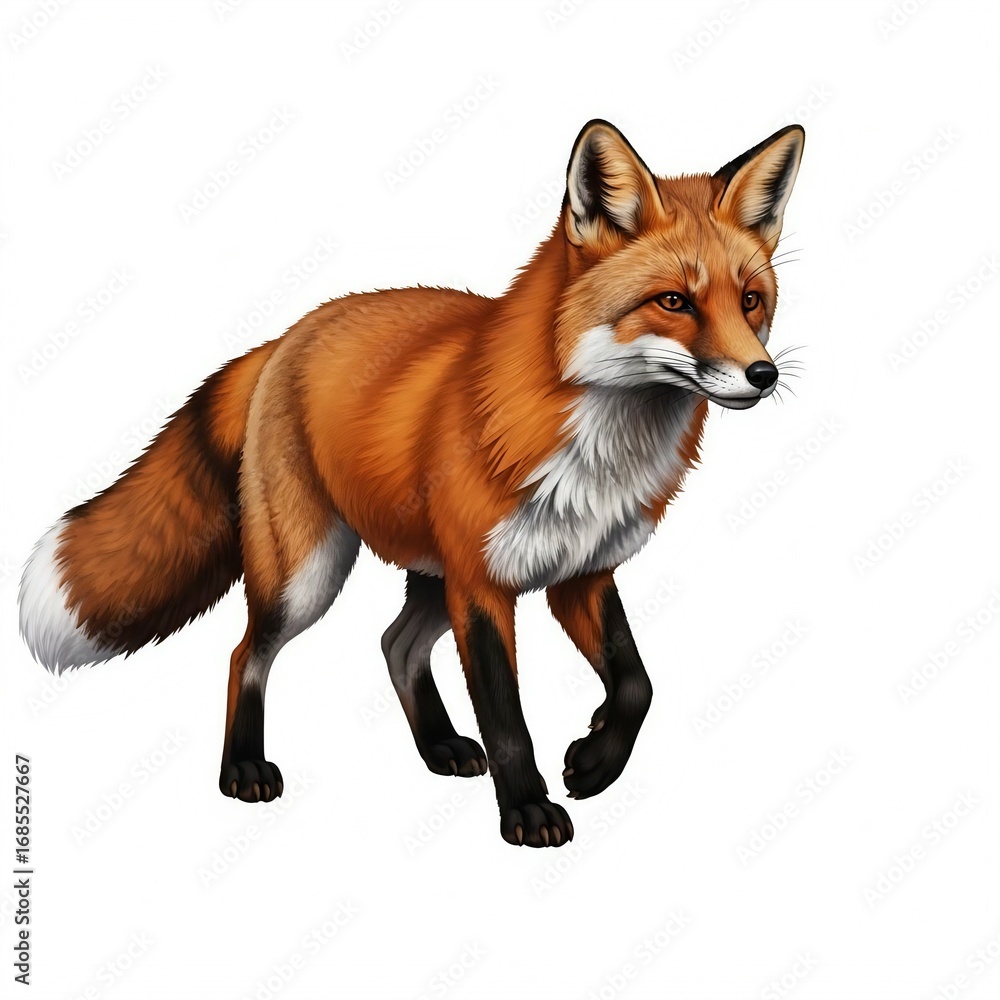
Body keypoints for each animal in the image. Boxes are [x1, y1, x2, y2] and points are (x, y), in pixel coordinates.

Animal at [19, 119, 804, 848]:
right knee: (249, 653)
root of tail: (288, 336)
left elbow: (637, 683)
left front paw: (594, 756)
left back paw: (439, 746)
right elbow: (508, 717)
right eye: (674, 302)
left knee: (395, 644)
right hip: (307, 576)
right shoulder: (482, 587)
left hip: (429, 574)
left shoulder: (581, 572)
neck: (598, 448)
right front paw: (528, 810)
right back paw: (242, 769)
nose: (763, 374)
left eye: (751, 301)